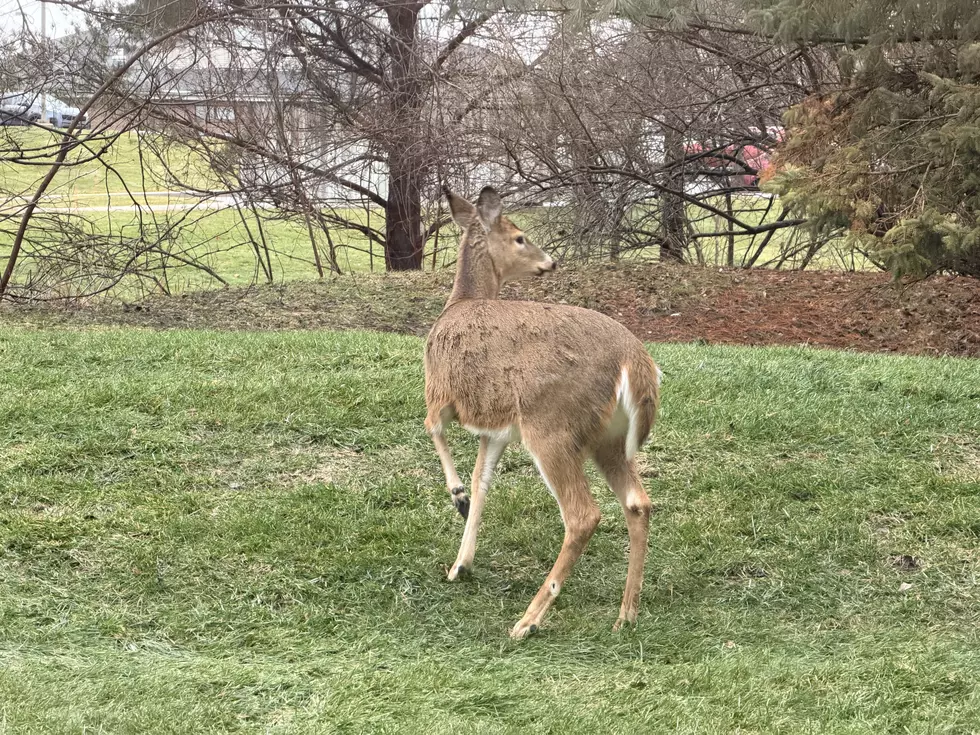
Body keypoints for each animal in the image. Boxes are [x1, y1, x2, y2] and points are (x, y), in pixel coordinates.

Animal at [424, 186, 662, 639]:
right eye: (520, 238)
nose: (550, 262)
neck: (457, 303)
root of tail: (635, 362)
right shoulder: (496, 428)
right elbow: (483, 482)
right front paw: (461, 564)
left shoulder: (440, 393)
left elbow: (435, 433)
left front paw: (457, 497)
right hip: (607, 438)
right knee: (638, 502)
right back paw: (627, 613)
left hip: (551, 426)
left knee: (583, 515)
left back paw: (528, 620)